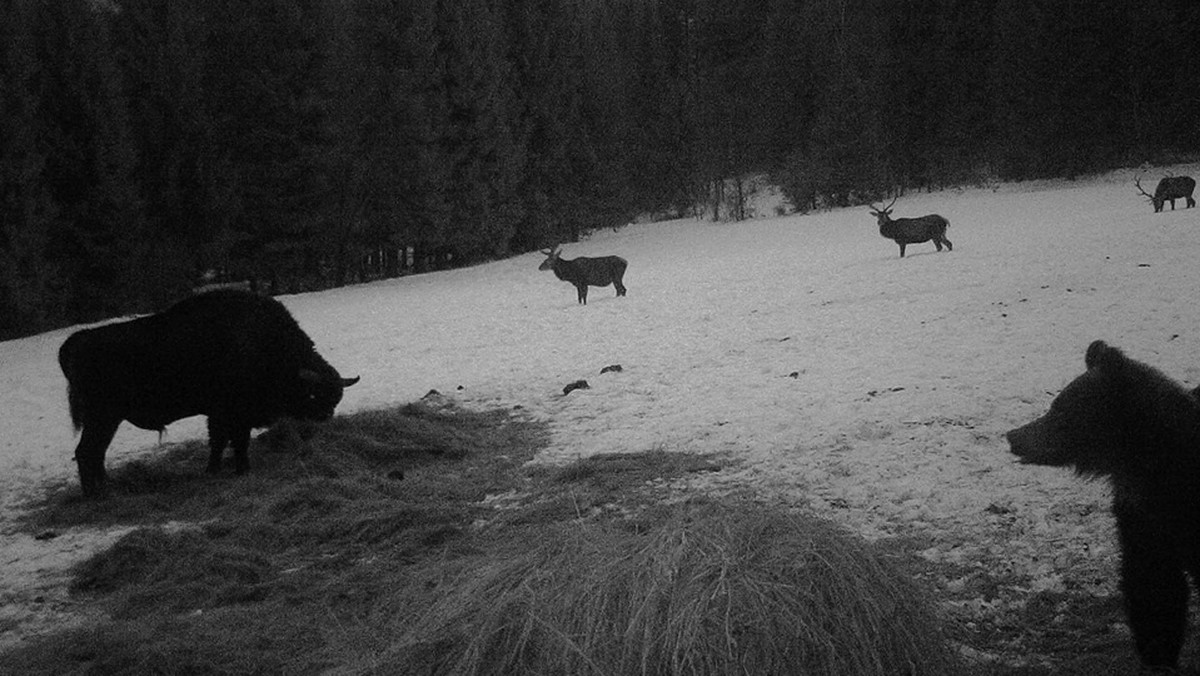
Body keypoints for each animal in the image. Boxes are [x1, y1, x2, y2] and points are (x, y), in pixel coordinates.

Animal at [60, 289, 357, 497]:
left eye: (336, 398)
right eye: (313, 395)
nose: (325, 419)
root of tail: (75, 343)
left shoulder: (218, 414)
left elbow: (218, 442)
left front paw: (213, 469)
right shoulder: (234, 415)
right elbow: (235, 441)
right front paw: (242, 469)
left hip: (108, 420)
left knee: (96, 453)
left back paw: (107, 488)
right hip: (103, 417)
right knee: (87, 452)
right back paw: (97, 495)